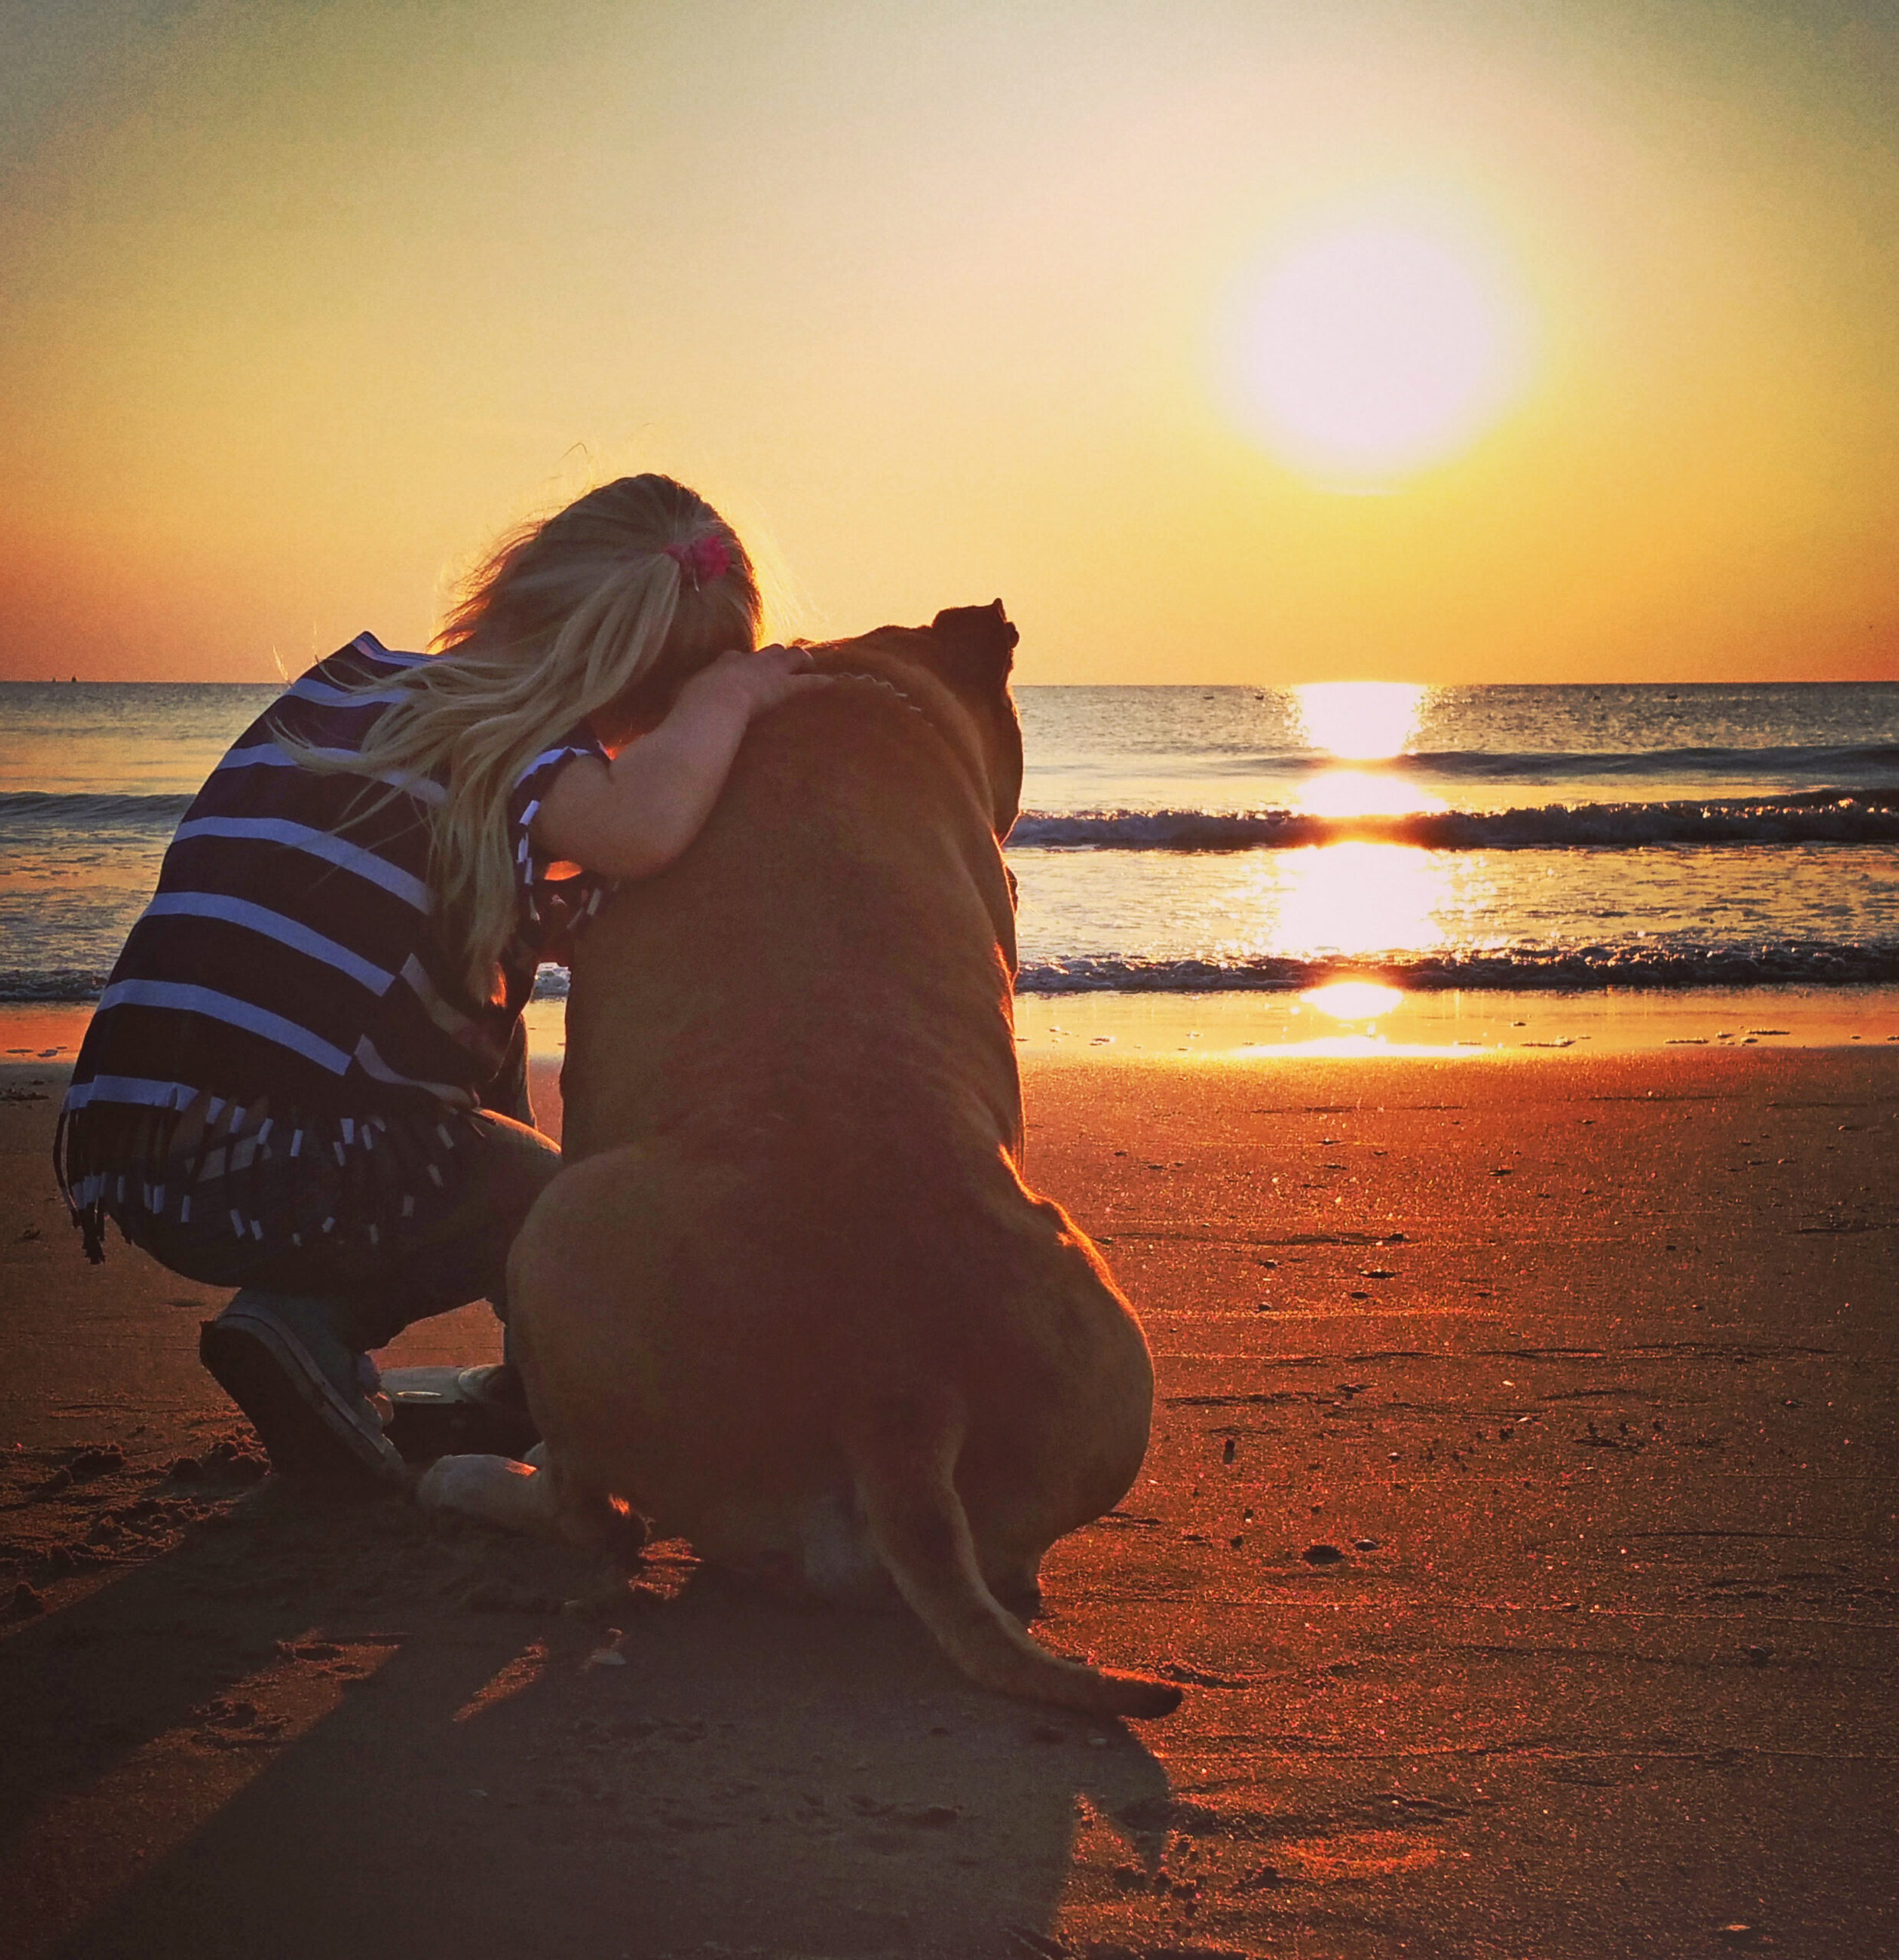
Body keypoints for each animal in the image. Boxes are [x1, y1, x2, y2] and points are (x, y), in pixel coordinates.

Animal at [423, 599, 1175, 1717]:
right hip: (1108, 1346)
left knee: (590, 1512)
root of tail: (898, 1394)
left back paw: (479, 1481)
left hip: (552, 1233)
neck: (865, 685)